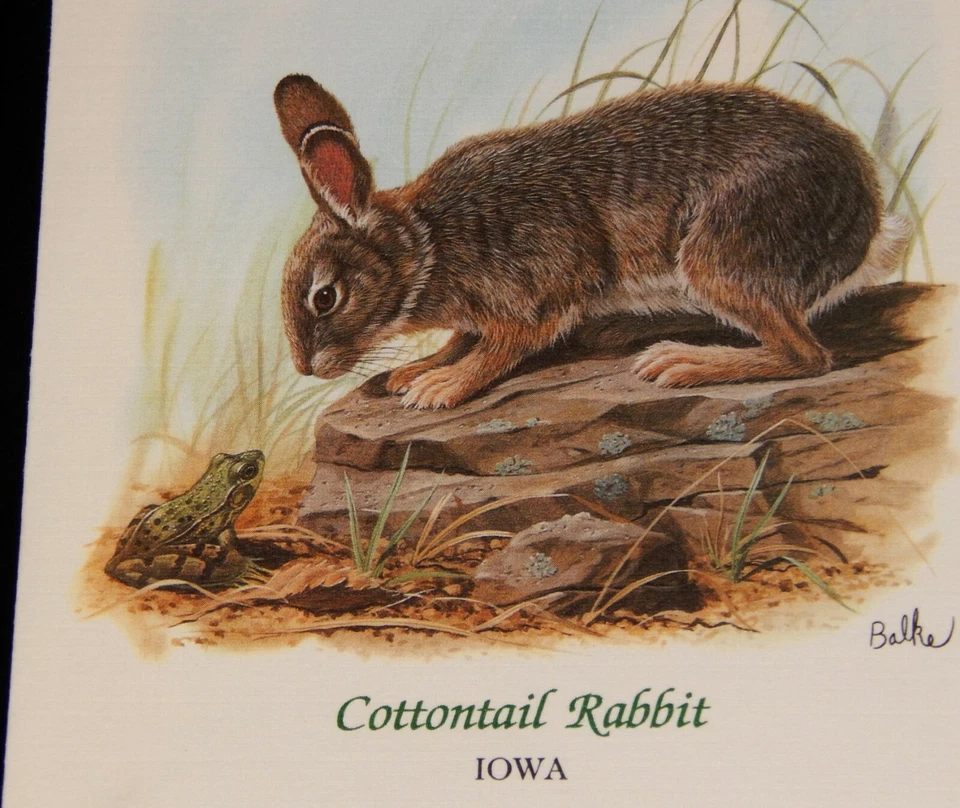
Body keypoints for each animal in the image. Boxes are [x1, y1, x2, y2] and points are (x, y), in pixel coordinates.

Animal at [273, 74, 910, 409]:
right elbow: (461, 337)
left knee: (807, 356)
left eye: (324, 297)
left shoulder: (534, 296)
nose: (304, 369)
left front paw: (439, 387)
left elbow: (499, 348)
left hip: (722, 254)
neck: (426, 243)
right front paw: (414, 371)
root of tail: (867, 221)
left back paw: (682, 363)